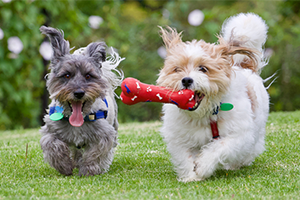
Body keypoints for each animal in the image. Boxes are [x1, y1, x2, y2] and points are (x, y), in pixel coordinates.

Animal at [39, 25, 124, 176]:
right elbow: (52, 145)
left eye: (88, 76)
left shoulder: (105, 134)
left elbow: (96, 152)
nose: (79, 93)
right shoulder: (50, 130)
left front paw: (88, 169)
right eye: (67, 75)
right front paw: (64, 165)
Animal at [157, 12, 270, 181]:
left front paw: (203, 167)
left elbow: (219, 148)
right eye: (177, 69)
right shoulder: (178, 136)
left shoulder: (239, 135)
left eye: (203, 69)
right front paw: (190, 176)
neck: (205, 115)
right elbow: (184, 157)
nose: (186, 80)